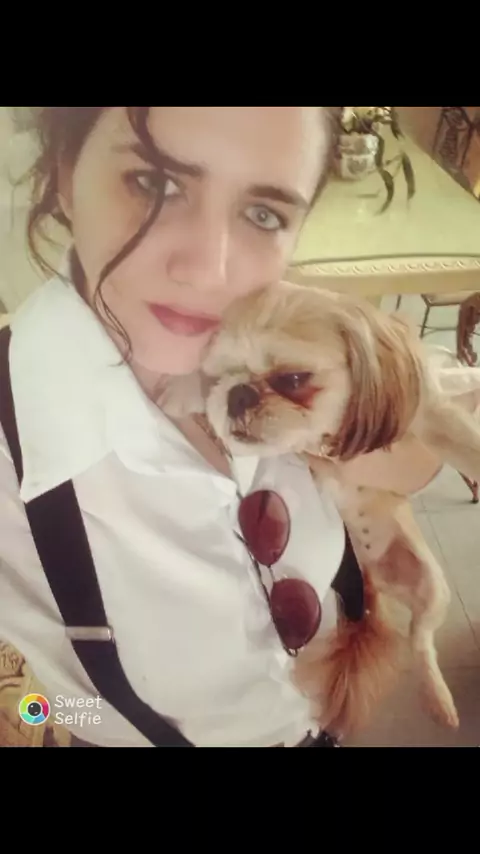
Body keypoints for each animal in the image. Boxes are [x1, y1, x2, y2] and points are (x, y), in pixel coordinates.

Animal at [201, 281, 480, 737]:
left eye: (294, 379)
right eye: (217, 376)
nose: (238, 394)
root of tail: (372, 580)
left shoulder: (431, 415)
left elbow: (465, 443)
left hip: (432, 587)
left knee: (421, 639)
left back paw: (437, 696)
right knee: (416, 638)